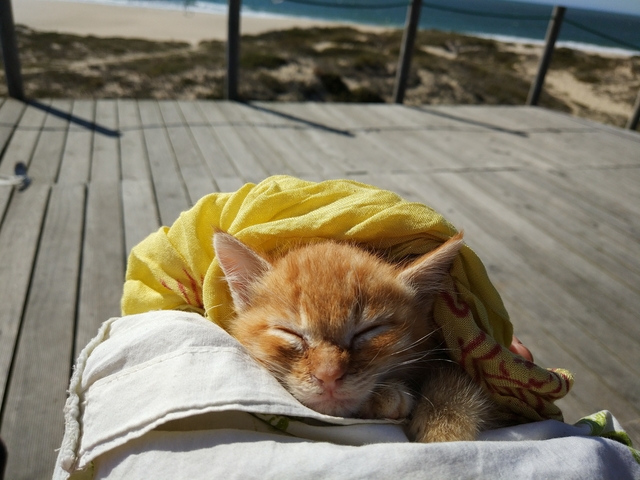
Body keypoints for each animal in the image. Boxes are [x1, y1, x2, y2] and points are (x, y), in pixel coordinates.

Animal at [214, 232, 500, 442]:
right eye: (290, 333)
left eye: (368, 331)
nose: (328, 375)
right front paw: (388, 398)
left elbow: (456, 384)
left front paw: (443, 430)